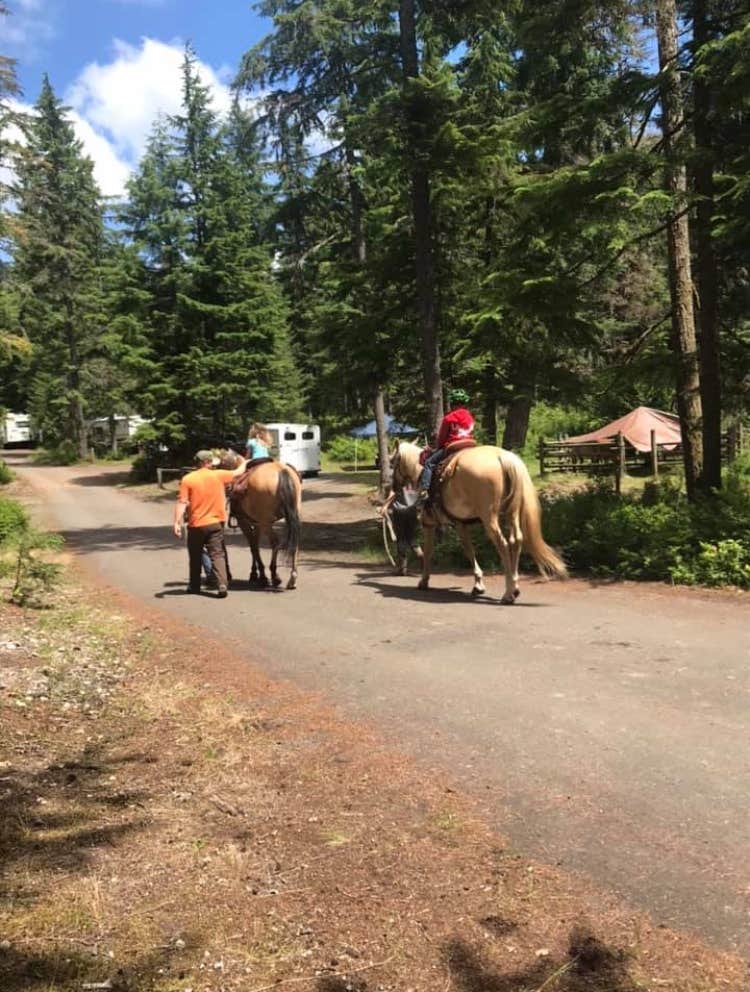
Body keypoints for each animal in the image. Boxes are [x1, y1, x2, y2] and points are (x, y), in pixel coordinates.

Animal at [220, 450, 302, 588]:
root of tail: (281, 471)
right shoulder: (257, 523)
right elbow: (255, 543)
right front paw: (256, 573)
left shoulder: (244, 522)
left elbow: (253, 545)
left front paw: (259, 575)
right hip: (291, 517)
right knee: (295, 542)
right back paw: (293, 578)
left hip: (266, 523)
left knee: (275, 542)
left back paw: (275, 576)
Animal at [390, 444, 568, 604]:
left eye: (392, 463)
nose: (393, 487)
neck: (420, 470)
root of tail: (502, 457)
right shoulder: (460, 524)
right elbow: (469, 550)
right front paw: (478, 584)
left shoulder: (429, 524)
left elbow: (429, 551)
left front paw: (424, 581)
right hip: (512, 513)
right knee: (516, 540)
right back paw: (515, 587)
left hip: (489, 518)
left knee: (503, 544)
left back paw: (508, 594)